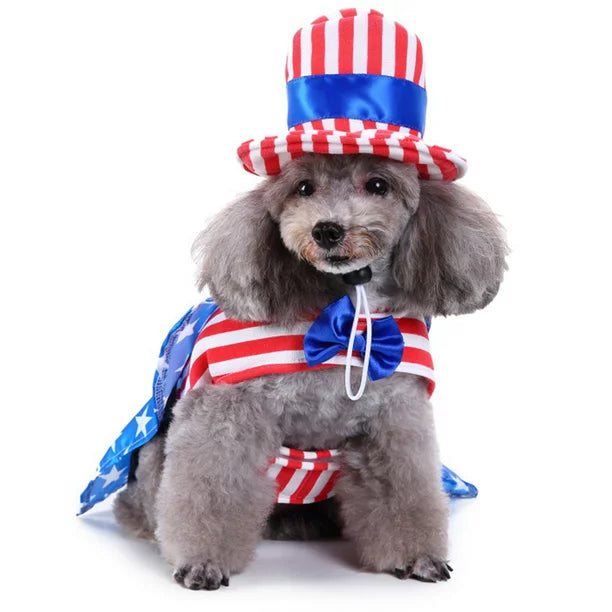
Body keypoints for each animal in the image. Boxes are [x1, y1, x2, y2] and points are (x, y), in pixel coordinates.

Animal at [113, 149, 506, 588]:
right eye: (304, 188)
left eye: (378, 185)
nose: (327, 230)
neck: (343, 319)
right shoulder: (224, 411)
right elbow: (210, 490)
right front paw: (201, 561)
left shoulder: (396, 416)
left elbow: (404, 490)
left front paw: (417, 555)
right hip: (152, 456)